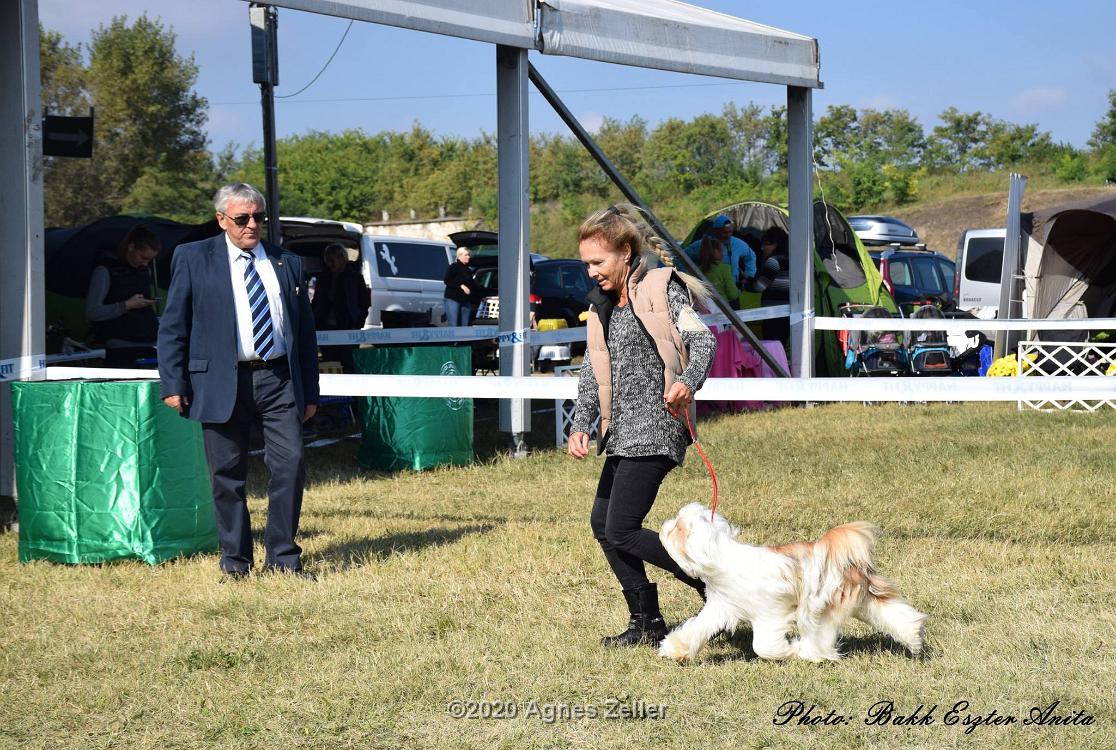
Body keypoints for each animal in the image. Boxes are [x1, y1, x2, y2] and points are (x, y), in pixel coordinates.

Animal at [656, 504, 928, 660]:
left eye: (676, 527)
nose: (664, 525)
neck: (722, 557)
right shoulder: (721, 606)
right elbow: (696, 628)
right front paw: (674, 649)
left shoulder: (770, 612)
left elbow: (763, 645)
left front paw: (787, 652)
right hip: (860, 599)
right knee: (893, 614)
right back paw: (914, 637)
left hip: (819, 608)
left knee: (820, 637)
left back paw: (807, 652)